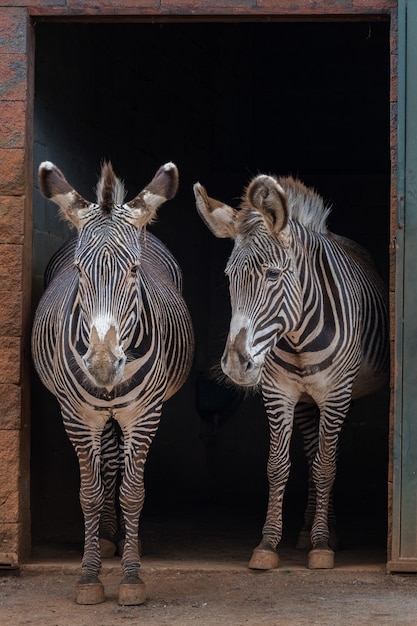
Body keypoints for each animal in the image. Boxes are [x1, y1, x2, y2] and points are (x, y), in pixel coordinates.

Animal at [32, 160, 193, 600]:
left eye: (134, 270)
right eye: (78, 271)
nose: (103, 365)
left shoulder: (145, 415)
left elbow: (133, 492)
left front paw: (132, 577)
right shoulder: (76, 416)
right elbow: (89, 493)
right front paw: (89, 577)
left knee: (118, 467)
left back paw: (120, 539)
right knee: (106, 465)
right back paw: (106, 537)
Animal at [193, 173, 388, 568]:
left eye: (272, 274)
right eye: (227, 277)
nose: (235, 364)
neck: (298, 335)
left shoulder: (336, 393)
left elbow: (327, 466)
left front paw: (322, 546)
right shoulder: (278, 392)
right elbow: (278, 466)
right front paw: (268, 544)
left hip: (342, 396)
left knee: (325, 458)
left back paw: (323, 534)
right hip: (307, 401)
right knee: (312, 454)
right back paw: (308, 530)